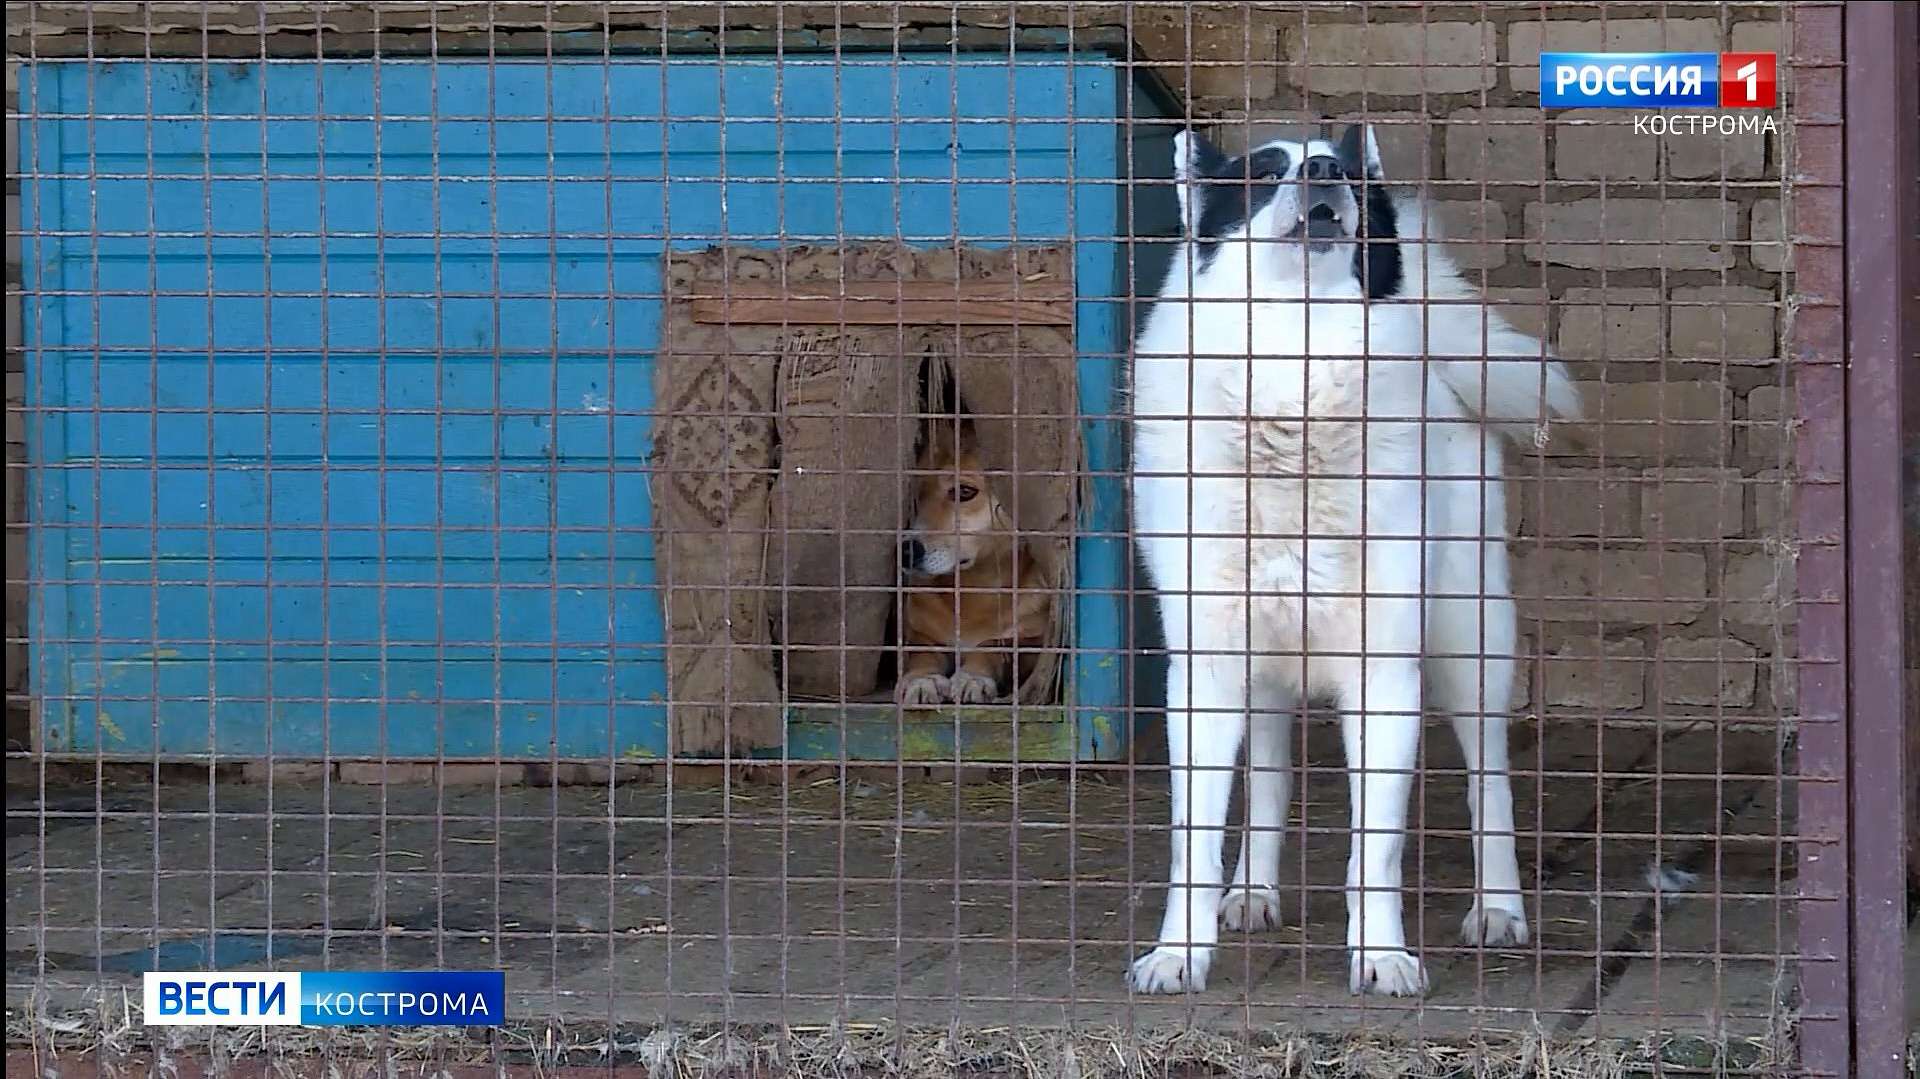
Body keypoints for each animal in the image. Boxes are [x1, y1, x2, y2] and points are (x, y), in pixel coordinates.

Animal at [894, 412, 1052, 706]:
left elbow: (992, 645)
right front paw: (922, 679)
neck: (973, 594)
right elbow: (920, 655)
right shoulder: (920, 633)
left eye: (964, 492)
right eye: (915, 495)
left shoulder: (1034, 639)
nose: (907, 551)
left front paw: (973, 676)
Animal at [1121, 121, 1574, 998]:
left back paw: (1499, 907)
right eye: (1265, 174)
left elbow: (1377, 851)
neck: (1294, 388)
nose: (1327, 169)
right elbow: (1196, 838)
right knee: (1268, 777)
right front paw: (1179, 951)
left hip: (1472, 643)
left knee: (1489, 781)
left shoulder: (1385, 677)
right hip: (1262, 675)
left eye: (1336, 172)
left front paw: (1382, 955)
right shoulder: (1206, 670)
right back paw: (1252, 891)